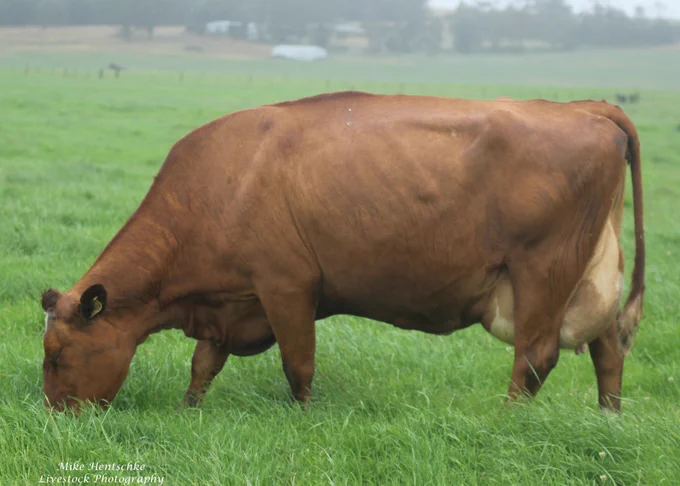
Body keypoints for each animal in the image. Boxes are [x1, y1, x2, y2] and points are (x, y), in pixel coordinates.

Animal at [41, 92, 645, 412]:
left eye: (58, 355)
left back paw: (505, 420)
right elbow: (203, 365)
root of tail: (585, 107)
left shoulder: (286, 286)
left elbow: (297, 363)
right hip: (590, 272)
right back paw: (607, 417)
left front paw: (303, 417)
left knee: (536, 355)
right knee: (607, 346)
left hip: (543, 270)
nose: (54, 416)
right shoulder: (230, 302)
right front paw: (188, 410)